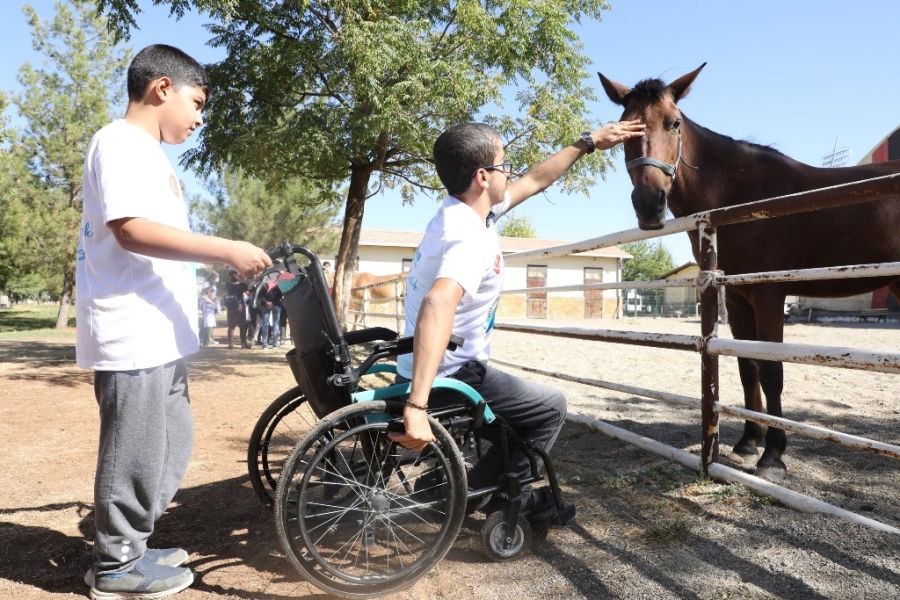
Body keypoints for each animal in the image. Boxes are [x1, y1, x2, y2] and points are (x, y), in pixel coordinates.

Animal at [600, 63, 900, 480]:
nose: (649, 204)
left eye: (674, 123)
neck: (740, 195)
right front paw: (747, 441)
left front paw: (773, 455)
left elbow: (771, 370)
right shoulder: (738, 298)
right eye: (624, 127)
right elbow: (747, 366)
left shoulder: (768, 294)